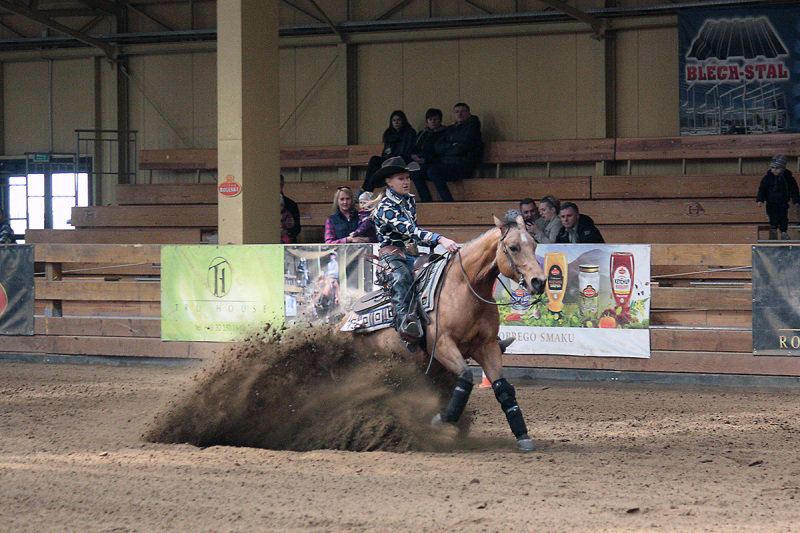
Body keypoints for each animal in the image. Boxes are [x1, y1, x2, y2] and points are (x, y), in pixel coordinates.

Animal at [340, 215, 548, 448]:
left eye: (534, 245)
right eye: (513, 247)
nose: (539, 282)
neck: (463, 287)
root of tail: (345, 321)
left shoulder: (486, 346)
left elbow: (503, 388)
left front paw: (523, 436)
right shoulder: (441, 345)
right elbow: (466, 377)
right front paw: (442, 418)